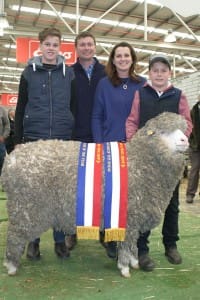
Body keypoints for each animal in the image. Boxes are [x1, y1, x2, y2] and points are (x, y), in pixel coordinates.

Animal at [1, 112, 189, 276]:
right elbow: (126, 243)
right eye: (163, 132)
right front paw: (124, 268)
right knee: (14, 235)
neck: (142, 162)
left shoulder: (132, 219)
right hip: (24, 207)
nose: (185, 140)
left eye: (183, 129)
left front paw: (134, 262)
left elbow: (131, 243)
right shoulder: (128, 216)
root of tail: (11, 160)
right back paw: (11, 266)